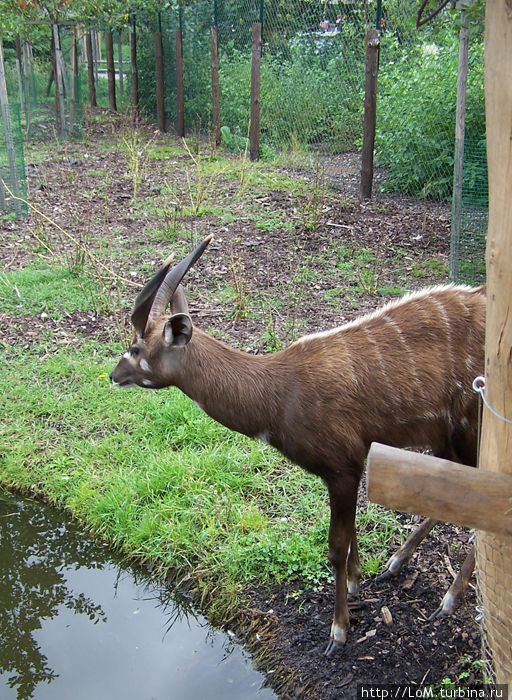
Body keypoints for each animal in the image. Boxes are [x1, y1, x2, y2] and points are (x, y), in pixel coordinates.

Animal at [110, 237, 486, 656]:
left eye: (136, 348)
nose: (113, 375)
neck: (280, 397)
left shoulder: (342, 467)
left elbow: (336, 546)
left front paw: (338, 631)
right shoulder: (348, 467)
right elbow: (351, 536)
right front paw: (357, 583)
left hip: (471, 428)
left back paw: (448, 599)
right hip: (444, 436)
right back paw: (396, 563)